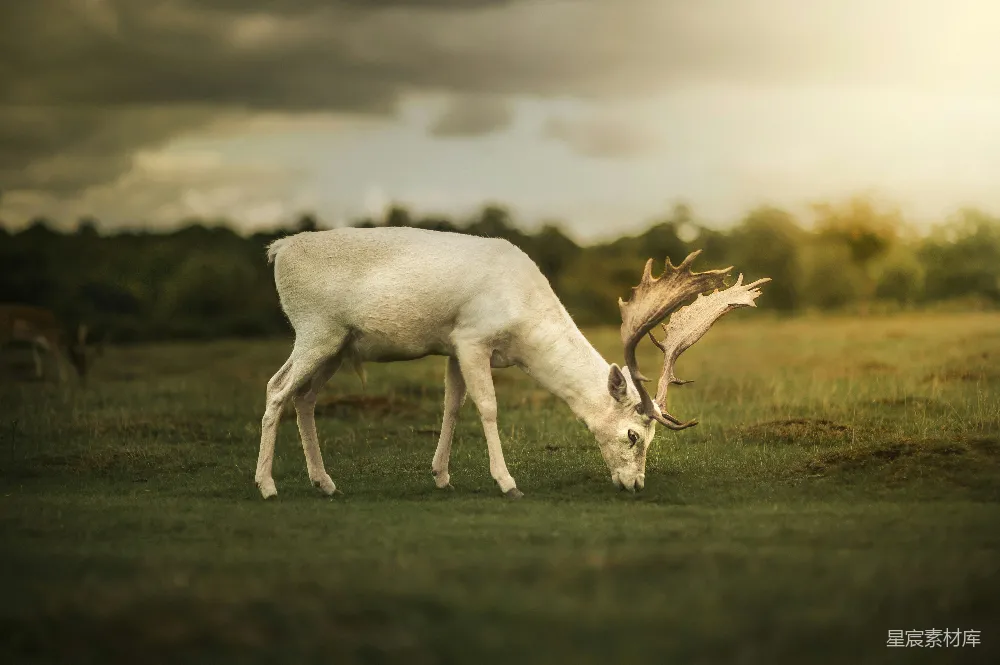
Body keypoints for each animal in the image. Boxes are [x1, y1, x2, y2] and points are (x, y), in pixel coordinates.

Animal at [254, 227, 769, 500]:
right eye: (632, 435)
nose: (636, 485)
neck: (523, 325)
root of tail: (278, 250)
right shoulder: (472, 338)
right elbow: (486, 407)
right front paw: (507, 483)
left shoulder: (454, 346)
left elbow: (452, 406)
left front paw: (441, 476)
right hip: (315, 329)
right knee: (277, 389)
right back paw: (267, 485)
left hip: (338, 345)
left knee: (303, 398)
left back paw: (325, 482)